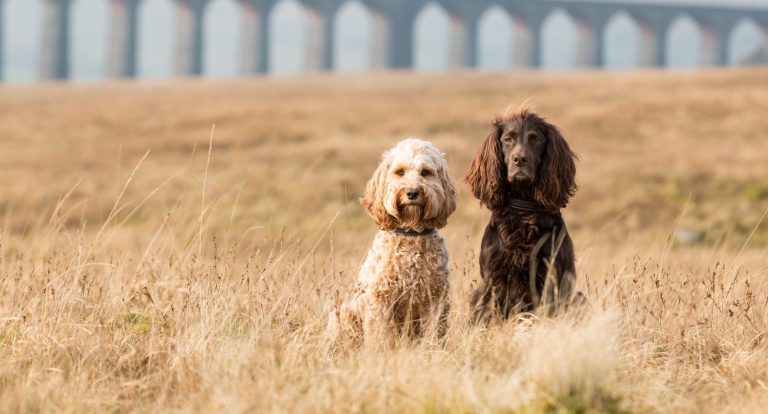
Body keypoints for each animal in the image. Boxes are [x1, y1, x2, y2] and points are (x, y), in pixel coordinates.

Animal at [326, 139, 456, 346]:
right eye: (399, 172)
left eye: (425, 172)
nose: (412, 192)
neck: (411, 234)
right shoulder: (380, 299)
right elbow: (378, 334)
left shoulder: (436, 299)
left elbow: (434, 334)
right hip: (345, 313)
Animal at [464, 108, 580, 322]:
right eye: (508, 139)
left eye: (537, 140)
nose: (519, 159)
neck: (523, 210)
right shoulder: (494, 279)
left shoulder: (552, 278)